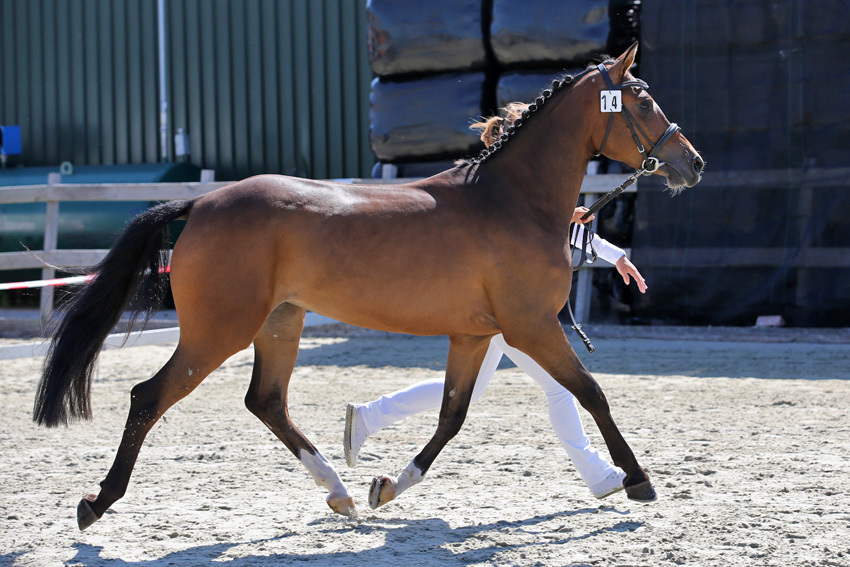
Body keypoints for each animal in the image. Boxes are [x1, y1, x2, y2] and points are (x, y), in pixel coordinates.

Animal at [33, 43, 703, 530]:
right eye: (643, 100)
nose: (691, 164)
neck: (512, 200)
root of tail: (199, 205)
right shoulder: (532, 327)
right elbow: (592, 394)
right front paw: (638, 480)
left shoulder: (475, 336)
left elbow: (452, 415)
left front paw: (386, 487)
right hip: (218, 331)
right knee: (148, 397)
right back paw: (96, 503)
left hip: (280, 322)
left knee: (266, 401)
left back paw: (342, 493)